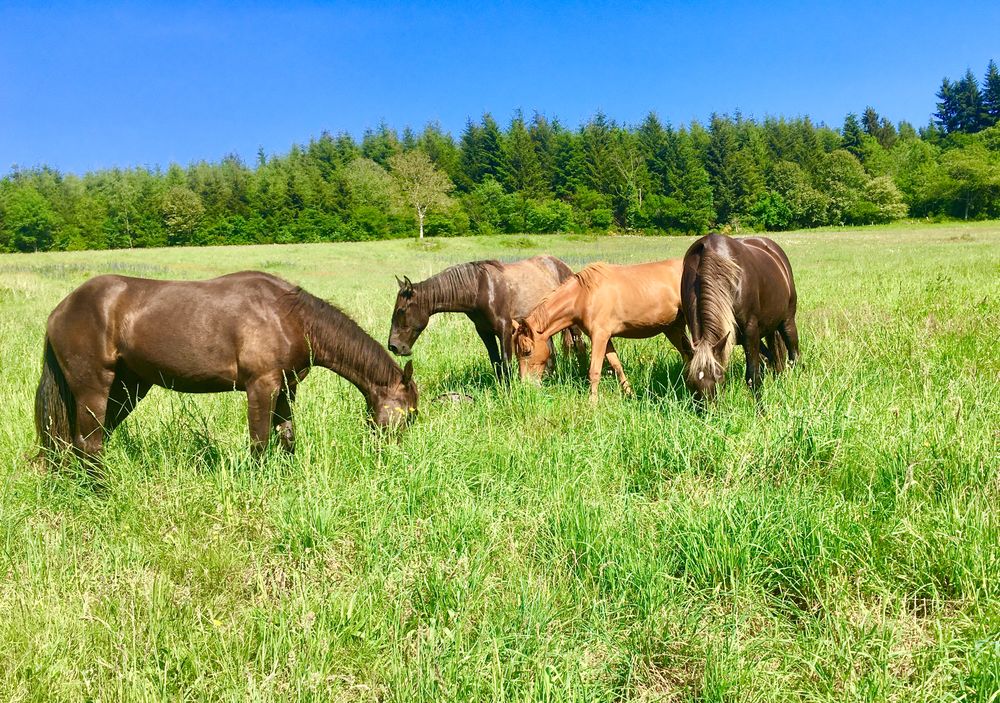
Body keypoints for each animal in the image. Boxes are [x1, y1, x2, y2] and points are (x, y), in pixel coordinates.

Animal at [34, 271, 418, 464]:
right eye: (409, 415)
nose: (395, 456)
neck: (289, 316)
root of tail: (60, 310)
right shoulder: (261, 387)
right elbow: (260, 443)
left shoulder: (286, 387)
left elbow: (287, 437)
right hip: (94, 387)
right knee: (89, 442)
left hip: (129, 388)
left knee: (81, 441)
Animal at [388, 255, 586, 382]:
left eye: (401, 310)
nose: (394, 346)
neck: (479, 288)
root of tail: (561, 265)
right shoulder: (485, 332)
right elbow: (496, 362)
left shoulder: (505, 329)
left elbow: (506, 362)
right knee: (551, 353)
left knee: (579, 344)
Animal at [511, 260, 692, 402]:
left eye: (527, 351)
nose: (525, 387)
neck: (583, 295)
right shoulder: (606, 338)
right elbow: (616, 365)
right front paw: (630, 394)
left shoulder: (600, 336)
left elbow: (594, 371)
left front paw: (592, 403)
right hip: (673, 328)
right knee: (688, 356)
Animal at [681, 233, 799, 402]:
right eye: (690, 383)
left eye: (719, 378)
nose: (710, 408)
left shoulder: (750, 330)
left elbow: (752, 376)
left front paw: (760, 407)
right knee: (774, 357)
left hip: (787, 321)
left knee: (794, 354)